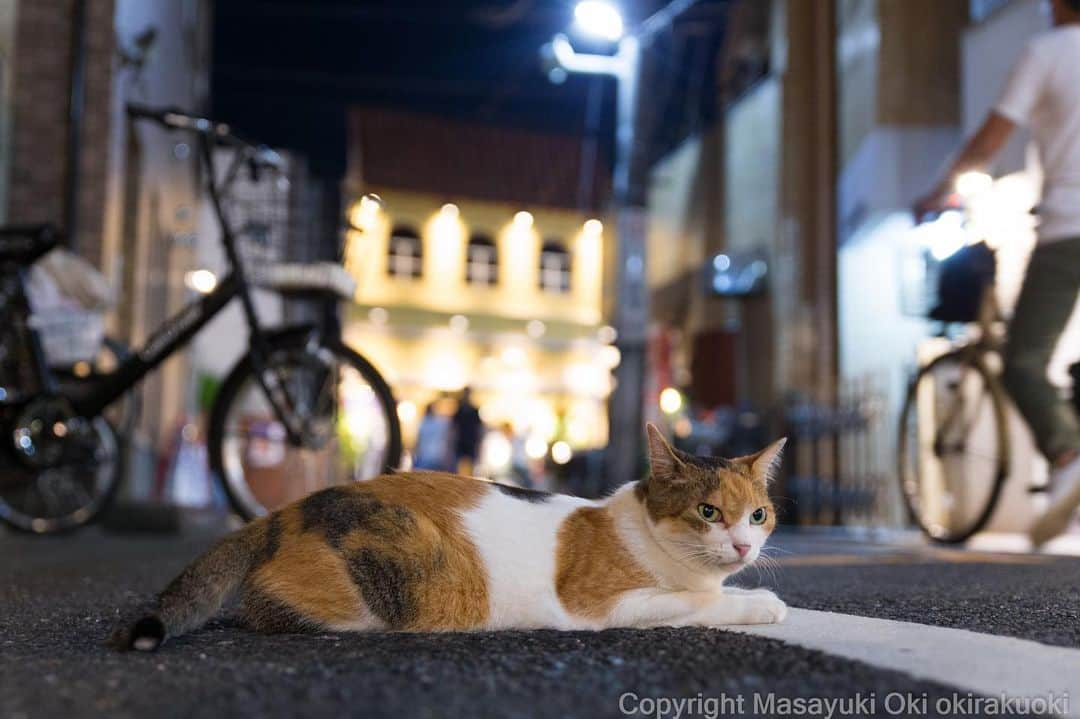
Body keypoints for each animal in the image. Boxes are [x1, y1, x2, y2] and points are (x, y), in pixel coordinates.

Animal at [113, 423, 790, 647]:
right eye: (708, 512)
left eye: (757, 516)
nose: (743, 546)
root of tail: (296, 506)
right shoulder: (605, 605)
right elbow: (699, 603)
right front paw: (759, 604)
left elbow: (712, 593)